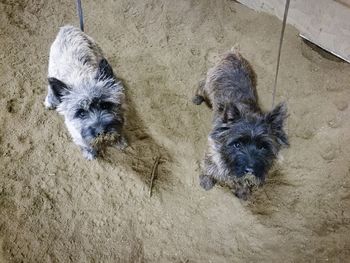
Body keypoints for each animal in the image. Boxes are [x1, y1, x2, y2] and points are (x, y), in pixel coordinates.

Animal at [45, 25, 126, 160]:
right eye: (81, 113)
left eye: (105, 105)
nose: (101, 132)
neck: (83, 79)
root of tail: (66, 28)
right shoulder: (75, 131)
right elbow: (84, 142)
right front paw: (90, 152)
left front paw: (119, 140)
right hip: (52, 69)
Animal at [193, 50, 288, 200]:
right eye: (237, 144)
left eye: (263, 147)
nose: (250, 169)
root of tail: (233, 53)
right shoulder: (214, 147)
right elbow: (211, 164)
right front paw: (207, 180)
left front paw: (243, 191)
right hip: (208, 84)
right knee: (201, 85)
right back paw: (197, 98)